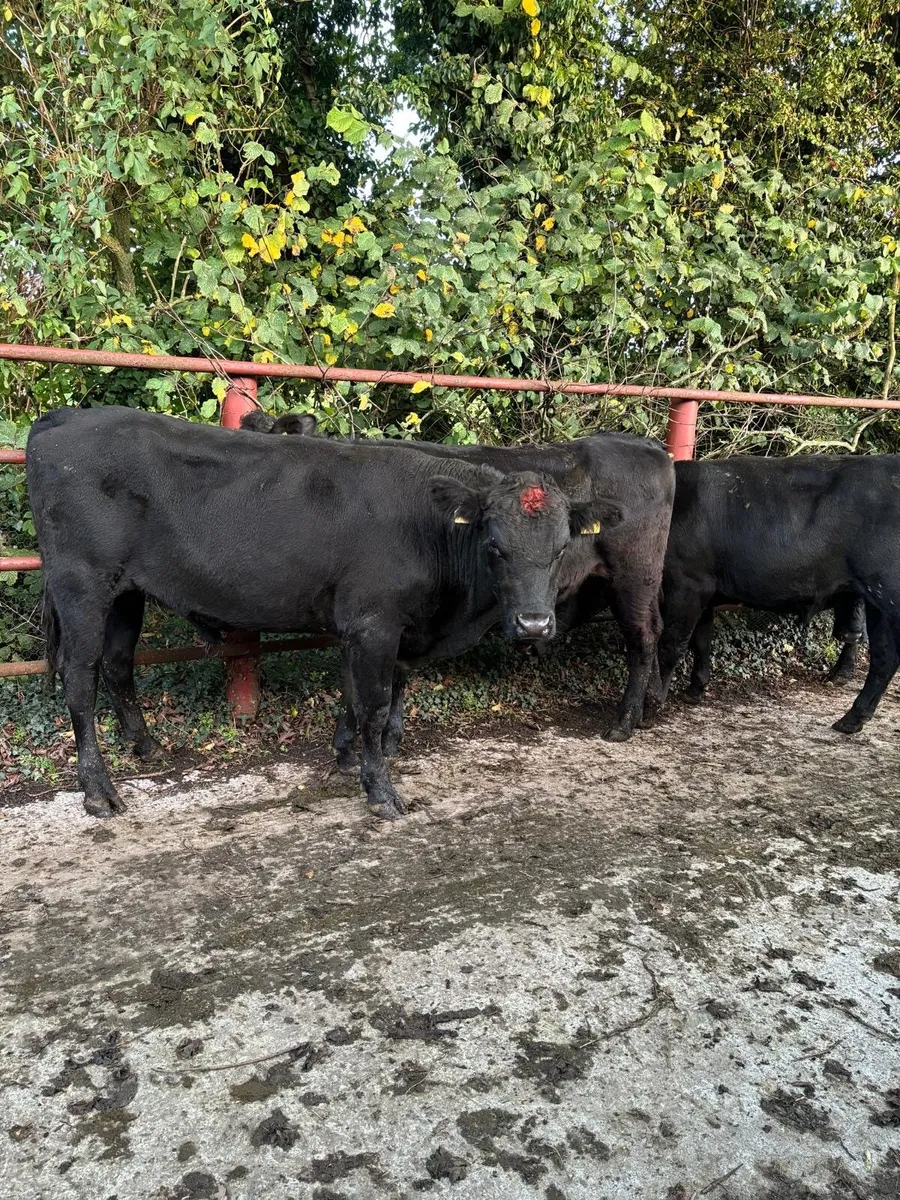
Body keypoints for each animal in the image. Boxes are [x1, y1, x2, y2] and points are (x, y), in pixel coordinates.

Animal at [27, 406, 615, 820]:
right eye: (495, 546)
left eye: (561, 547)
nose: (534, 625)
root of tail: (65, 417)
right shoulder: (374, 623)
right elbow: (375, 705)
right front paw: (381, 791)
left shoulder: (387, 629)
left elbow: (373, 698)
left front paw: (349, 757)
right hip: (81, 584)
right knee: (79, 678)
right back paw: (99, 792)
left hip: (125, 592)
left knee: (117, 662)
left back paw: (145, 746)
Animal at [643, 455, 900, 734]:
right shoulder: (706, 590)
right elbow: (701, 641)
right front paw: (695, 689)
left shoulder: (687, 584)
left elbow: (671, 645)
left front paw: (652, 707)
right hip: (876, 601)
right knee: (884, 657)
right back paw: (852, 719)